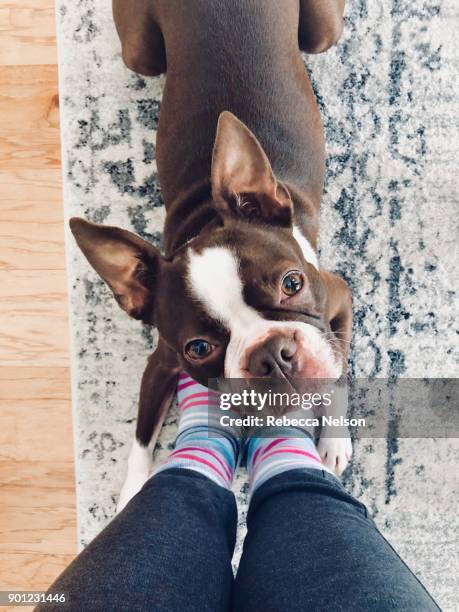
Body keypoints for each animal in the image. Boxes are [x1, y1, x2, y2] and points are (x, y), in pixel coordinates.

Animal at [70, 0, 350, 512]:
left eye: (293, 283)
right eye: (199, 348)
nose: (272, 355)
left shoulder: (341, 298)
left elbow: (339, 371)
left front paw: (335, 440)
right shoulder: (162, 360)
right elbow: (140, 439)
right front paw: (132, 494)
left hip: (323, 32)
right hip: (140, 54)